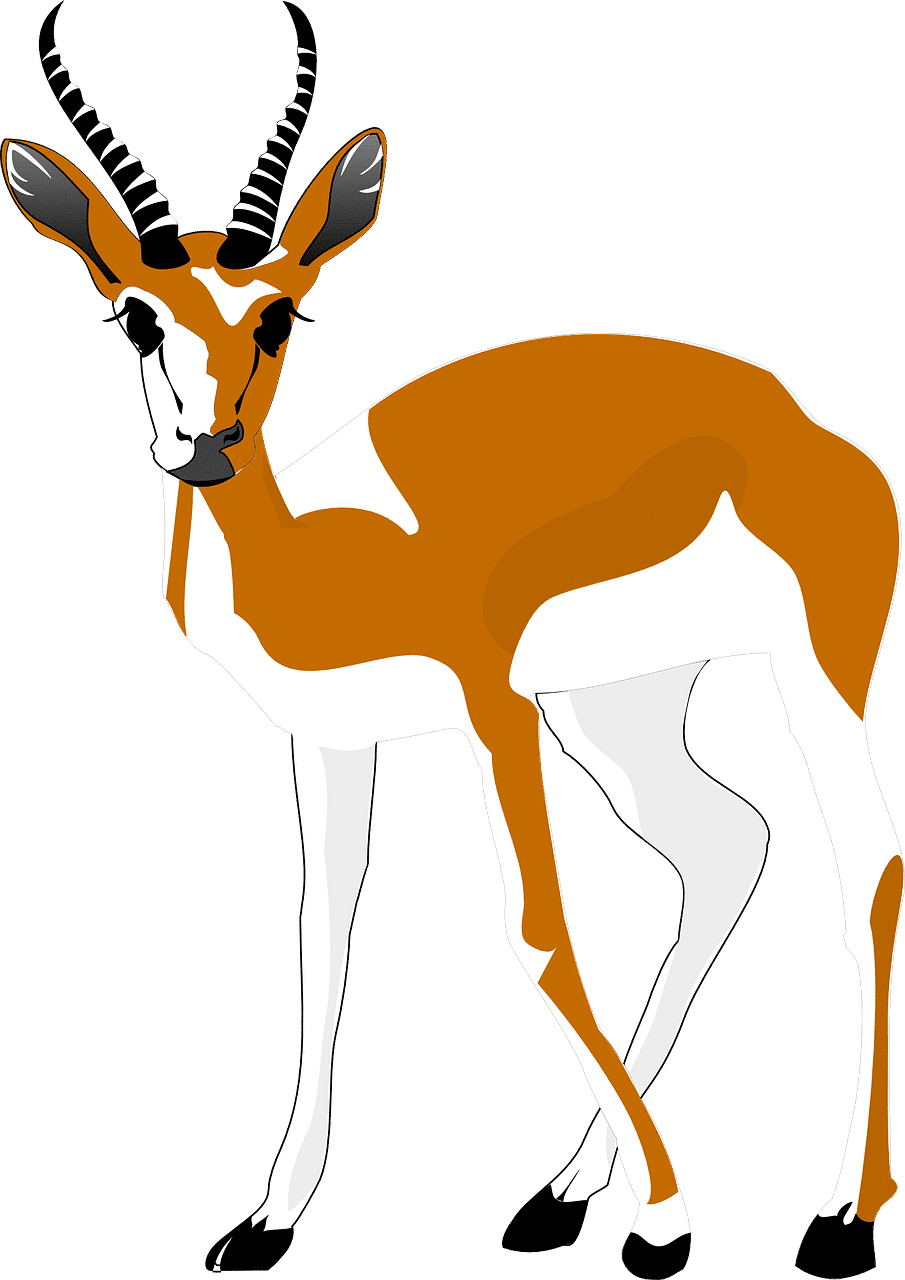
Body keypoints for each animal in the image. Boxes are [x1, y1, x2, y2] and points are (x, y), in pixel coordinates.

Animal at [3, 3, 901, 1277]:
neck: (323, 559)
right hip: (617, 709)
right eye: (137, 314)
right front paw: (266, 1219)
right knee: (726, 844)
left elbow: (537, 929)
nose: (205, 446)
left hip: (812, 668)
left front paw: (669, 1222)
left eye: (278, 311)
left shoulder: (490, 707)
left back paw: (836, 1217)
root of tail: (809, 427)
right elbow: (320, 934)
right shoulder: (329, 738)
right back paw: (565, 1193)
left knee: (865, 864)